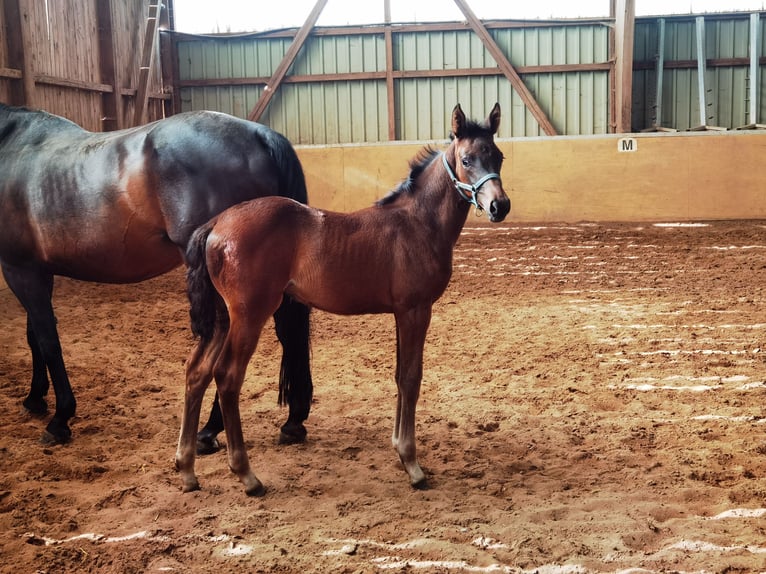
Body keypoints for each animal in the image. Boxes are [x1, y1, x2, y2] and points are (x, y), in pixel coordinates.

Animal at [0, 104, 314, 446]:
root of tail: (259, 134)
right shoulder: (36, 270)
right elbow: (34, 336)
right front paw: (35, 399)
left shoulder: (19, 269)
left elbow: (47, 340)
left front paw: (60, 419)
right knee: (286, 332)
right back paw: (292, 421)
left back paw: (210, 429)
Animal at [177, 102, 512, 496]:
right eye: (467, 158)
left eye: (499, 156)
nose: (499, 206)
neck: (417, 223)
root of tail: (216, 223)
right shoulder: (416, 310)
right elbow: (411, 378)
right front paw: (412, 465)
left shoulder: (400, 313)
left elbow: (399, 375)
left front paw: (399, 450)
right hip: (248, 315)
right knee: (227, 378)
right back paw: (247, 475)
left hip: (221, 318)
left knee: (196, 372)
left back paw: (187, 470)